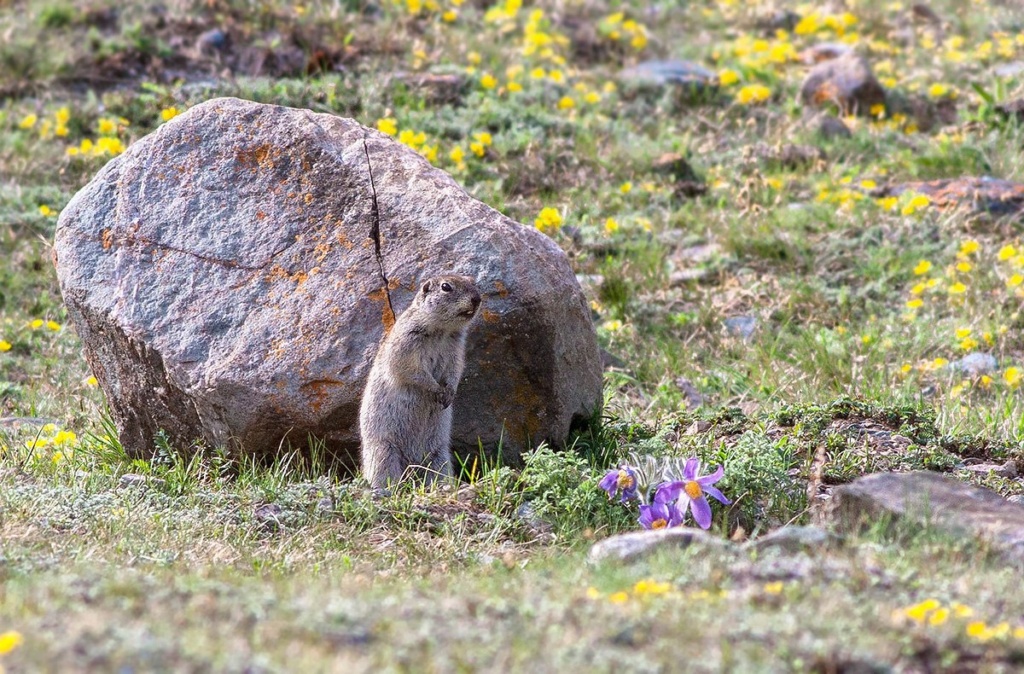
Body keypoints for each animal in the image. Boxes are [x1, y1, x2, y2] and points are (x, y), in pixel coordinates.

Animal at [358, 272, 481, 487]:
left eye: (473, 282)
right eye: (446, 287)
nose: (477, 299)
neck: (442, 331)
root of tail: (412, 464)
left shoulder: (456, 348)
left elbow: (455, 369)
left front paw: (449, 392)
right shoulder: (408, 339)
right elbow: (409, 368)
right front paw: (436, 390)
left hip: (439, 455)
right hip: (383, 451)